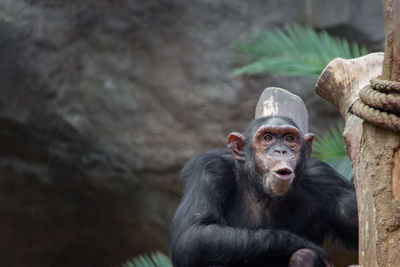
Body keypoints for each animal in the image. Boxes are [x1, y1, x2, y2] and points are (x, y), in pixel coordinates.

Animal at [170, 88, 358, 267]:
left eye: (289, 138)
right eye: (267, 137)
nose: (281, 150)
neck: (262, 189)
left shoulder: (327, 179)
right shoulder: (210, 169)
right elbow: (193, 235)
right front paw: (301, 242)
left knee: (304, 256)